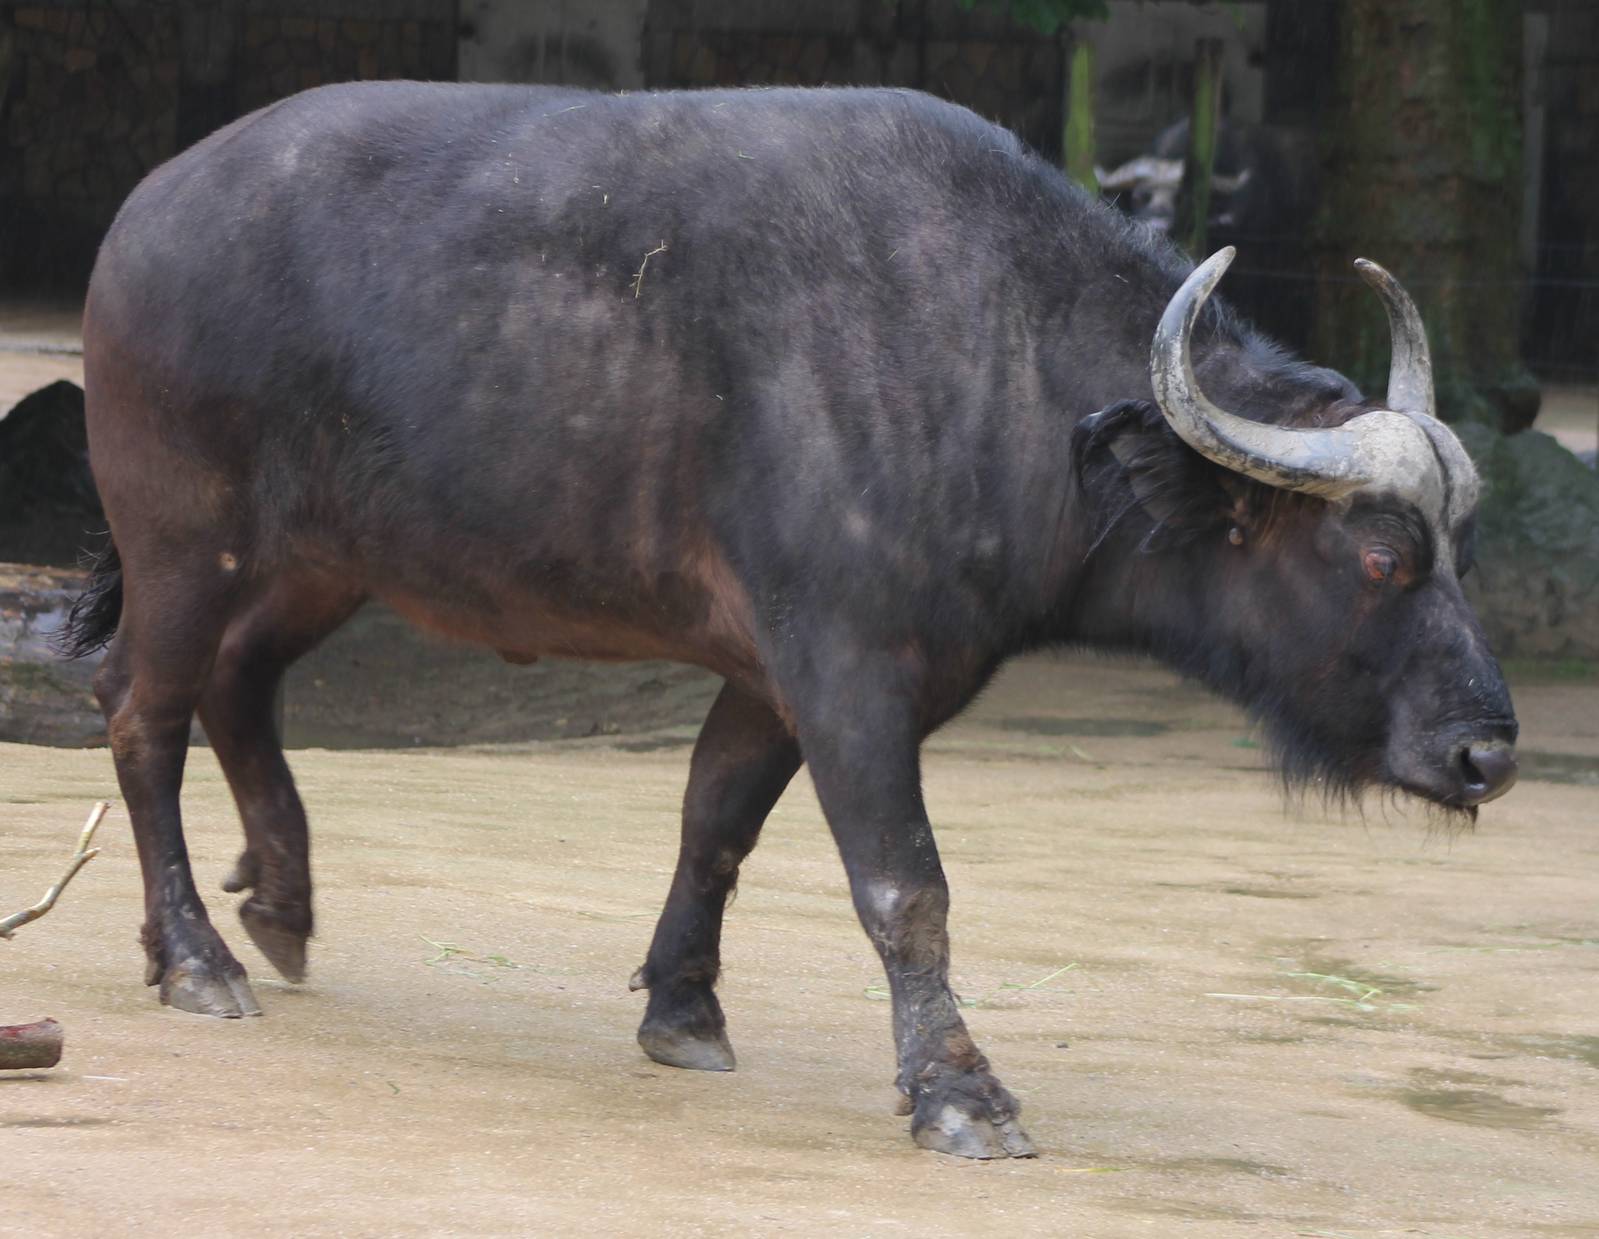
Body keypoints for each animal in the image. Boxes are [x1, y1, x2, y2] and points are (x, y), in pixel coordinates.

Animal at [60, 84, 1516, 1158]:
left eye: (1460, 543)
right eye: (1378, 553)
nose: (1484, 751)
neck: (991, 362)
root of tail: (146, 210)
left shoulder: (769, 677)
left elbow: (714, 821)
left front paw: (681, 1006)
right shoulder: (848, 670)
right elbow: (906, 883)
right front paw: (957, 1092)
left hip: (318, 558)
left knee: (239, 682)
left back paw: (282, 897)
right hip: (186, 539)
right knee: (141, 712)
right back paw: (192, 957)